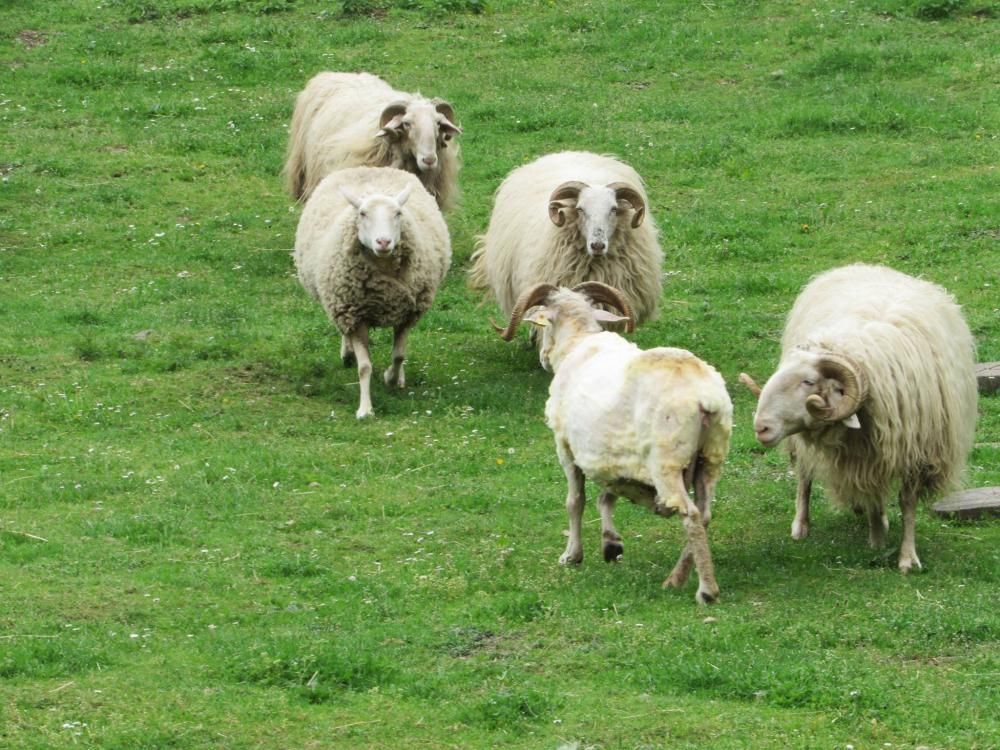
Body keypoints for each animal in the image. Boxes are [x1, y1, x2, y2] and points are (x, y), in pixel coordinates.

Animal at [294, 166, 451, 419]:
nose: (383, 241)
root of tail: (368, 167)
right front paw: (365, 409)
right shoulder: (354, 314)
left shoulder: (406, 313)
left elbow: (398, 355)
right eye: (363, 214)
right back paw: (347, 353)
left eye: (398, 213)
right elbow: (364, 367)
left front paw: (391, 377)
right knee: (345, 334)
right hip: (339, 305)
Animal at [494, 281, 733, 603]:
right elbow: (607, 497)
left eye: (543, 326)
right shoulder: (613, 457)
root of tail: (704, 398)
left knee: (692, 516)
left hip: (667, 461)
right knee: (705, 514)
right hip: (711, 457)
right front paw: (611, 544)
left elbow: (576, 501)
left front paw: (572, 556)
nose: (542, 358)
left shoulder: (566, 448)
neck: (579, 343)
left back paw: (705, 590)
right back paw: (676, 577)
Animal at [741, 264, 978, 573]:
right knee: (805, 475)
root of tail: (865, 266)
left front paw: (907, 556)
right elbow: (872, 496)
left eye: (808, 382)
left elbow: (907, 503)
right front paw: (877, 540)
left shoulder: (915, 452)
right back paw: (802, 525)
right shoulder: (867, 455)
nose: (761, 427)